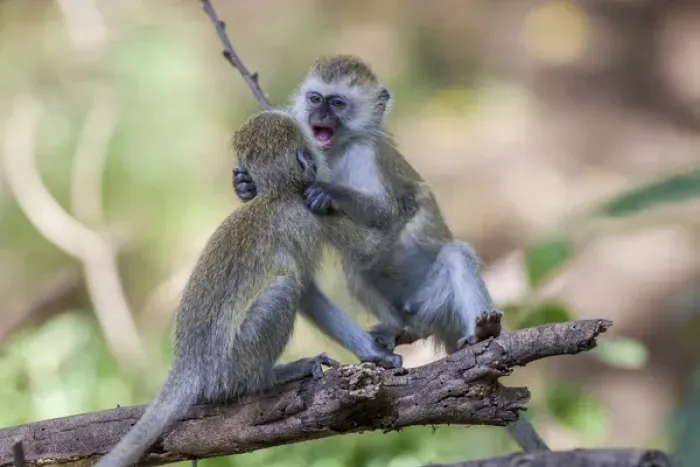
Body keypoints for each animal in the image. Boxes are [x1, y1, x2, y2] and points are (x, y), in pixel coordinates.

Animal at [96, 109, 403, 467]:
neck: (276, 195)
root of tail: (189, 365)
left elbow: (309, 293)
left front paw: (372, 353)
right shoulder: (313, 216)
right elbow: (326, 276)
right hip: (233, 366)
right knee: (283, 288)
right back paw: (268, 379)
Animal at [232, 56, 549, 453]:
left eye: (337, 103)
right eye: (315, 98)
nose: (319, 114)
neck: (337, 151)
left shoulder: (367, 158)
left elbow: (389, 212)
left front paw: (326, 190)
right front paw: (245, 185)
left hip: (435, 302)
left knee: (455, 255)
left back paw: (484, 332)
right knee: (357, 269)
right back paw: (394, 330)